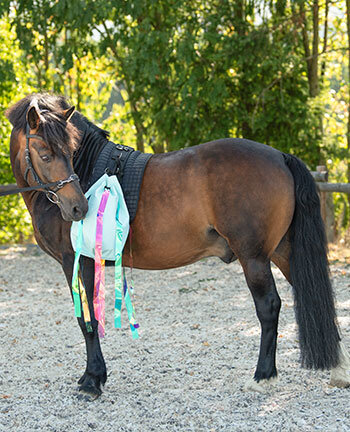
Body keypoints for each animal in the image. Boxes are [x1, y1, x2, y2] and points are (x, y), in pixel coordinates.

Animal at [4, 93, 348, 394]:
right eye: (46, 154)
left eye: (70, 148)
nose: (78, 208)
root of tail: (280, 156)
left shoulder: (77, 260)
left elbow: (87, 318)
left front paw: (92, 380)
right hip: (282, 251)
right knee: (313, 293)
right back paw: (338, 370)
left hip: (254, 257)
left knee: (269, 306)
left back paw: (263, 377)